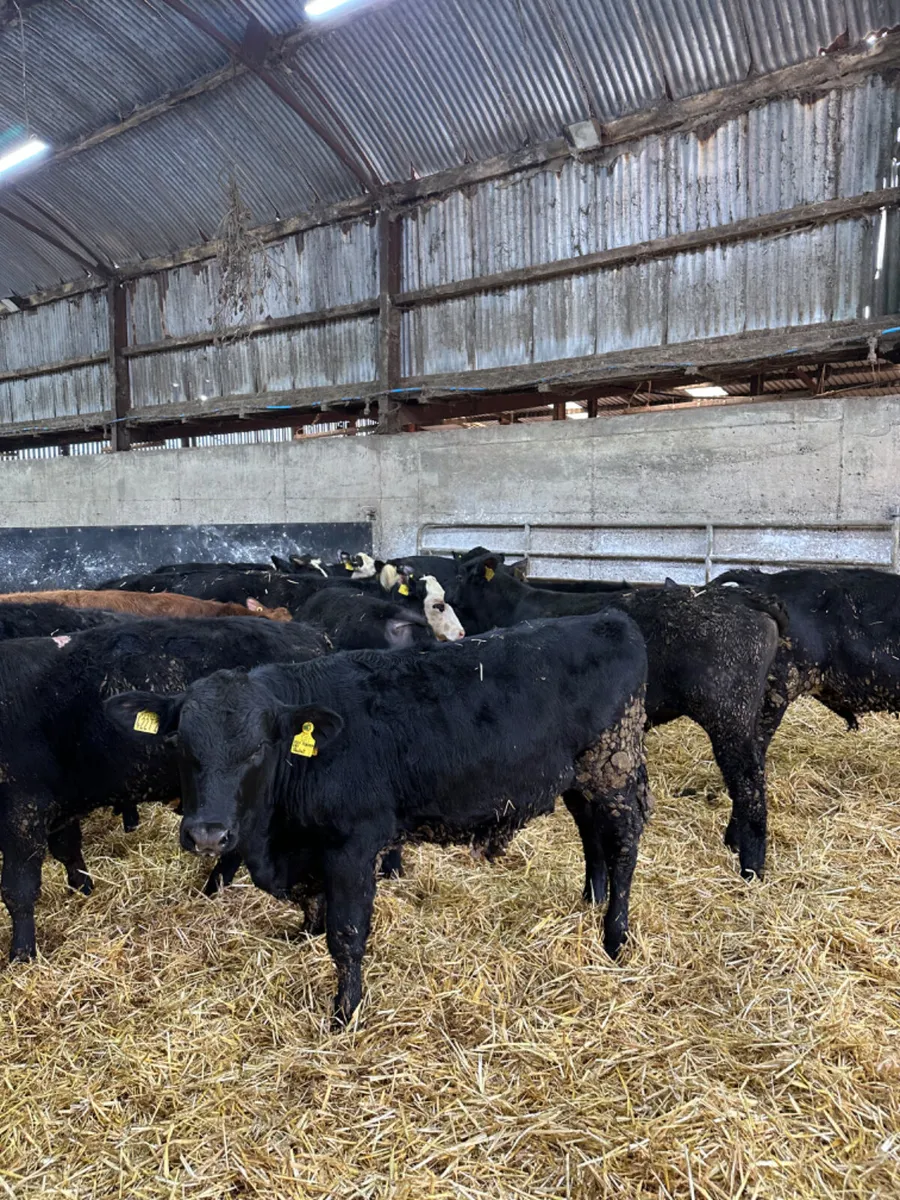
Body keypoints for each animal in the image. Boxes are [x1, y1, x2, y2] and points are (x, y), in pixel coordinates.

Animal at [0, 617, 330, 962]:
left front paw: (22, 955)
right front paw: (83, 890)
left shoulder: (22, 812)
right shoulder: (55, 804)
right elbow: (68, 850)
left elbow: (18, 889)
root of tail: (311, 634)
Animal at [106, 610, 650, 1024]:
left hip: (615, 766)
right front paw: (302, 936)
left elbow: (346, 935)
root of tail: (608, 617)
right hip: (579, 774)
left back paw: (614, 935)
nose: (207, 834)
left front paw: (344, 1013)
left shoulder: (353, 846)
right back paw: (590, 897)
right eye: (180, 743)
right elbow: (315, 910)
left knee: (623, 843)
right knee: (589, 829)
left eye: (259, 748)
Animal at [449, 554, 785, 880]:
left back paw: (751, 868)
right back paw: (734, 841)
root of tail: (741, 599)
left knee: (748, 783)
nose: (447, 597)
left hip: (728, 715)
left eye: (462, 575)